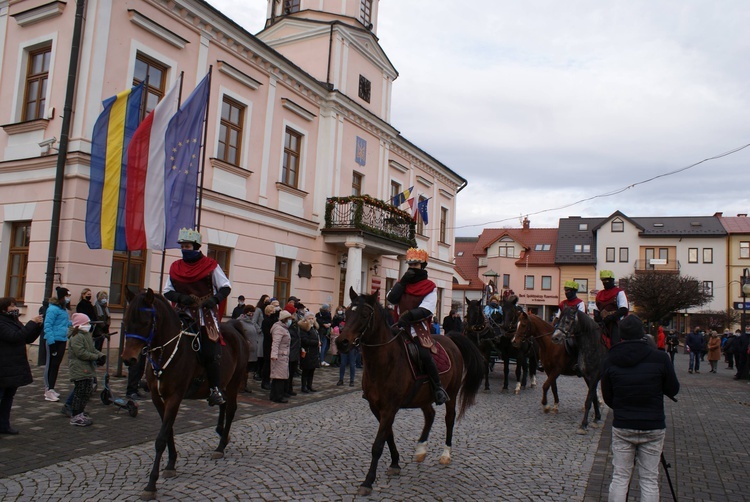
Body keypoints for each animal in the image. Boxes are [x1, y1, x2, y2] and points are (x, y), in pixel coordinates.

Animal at [122, 288, 251, 500]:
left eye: (146, 322)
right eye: (125, 320)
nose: (128, 359)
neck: (166, 352)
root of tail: (235, 328)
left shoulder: (175, 397)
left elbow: (161, 438)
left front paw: (151, 484)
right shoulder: (158, 398)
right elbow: (169, 431)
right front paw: (171, 464)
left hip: (234, 383)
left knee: (231, 409)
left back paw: (221, 446)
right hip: (223, 383)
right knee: (223, 404)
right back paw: (221, 434)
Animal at [338, 288, 484, 496]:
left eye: (364, 315)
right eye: (347, 314)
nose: (341, 342)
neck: (384, 361)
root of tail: (449, 338)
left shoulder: (390, 408)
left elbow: (378, 445)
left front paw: (368, 481)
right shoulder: (376, 407)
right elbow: (388, 436)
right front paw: (395, 463)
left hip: (452, 393)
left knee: (449, 418)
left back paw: (446, 454)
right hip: (423, 397)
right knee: (430, 415)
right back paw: (421, 449)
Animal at [552, 306, 612, 436]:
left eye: (567, 321)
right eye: (558, 319)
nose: (555, 338)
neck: (592, 345)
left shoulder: (595, 375)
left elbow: (589, 399)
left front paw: (583, 425)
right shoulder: (587, 376)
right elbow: (593, 397)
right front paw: (596, 418)